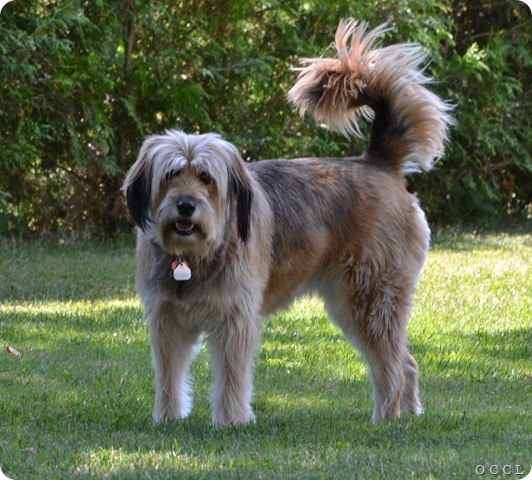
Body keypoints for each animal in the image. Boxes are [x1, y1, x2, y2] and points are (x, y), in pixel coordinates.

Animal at [122, 19, 453, 426]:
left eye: (206, 177)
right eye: (170, 174)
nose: (185, 207)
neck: (192, 257)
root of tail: (377, 162)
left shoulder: (235, 319)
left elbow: (232, 377)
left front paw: (231, 421)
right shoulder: (166, 320)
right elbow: (169, 374)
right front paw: (168, 419)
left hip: (372, 297)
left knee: (390, 364)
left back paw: (384, 417)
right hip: (355, 304)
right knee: (406, 362)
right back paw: (405, 414)